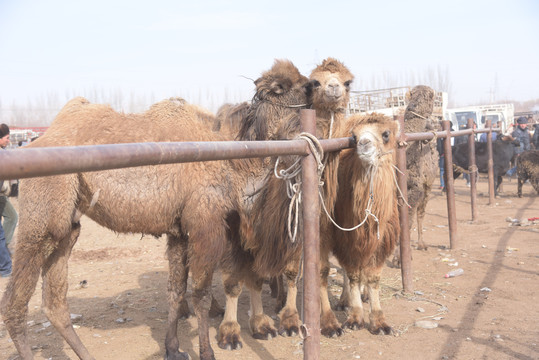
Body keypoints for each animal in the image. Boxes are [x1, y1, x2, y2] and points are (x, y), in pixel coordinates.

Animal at [1, 59, 312, 360]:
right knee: (15, 302)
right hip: (43, 217)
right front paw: (207, 351)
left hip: (69, 226)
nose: (315, 87)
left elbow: (175, 291)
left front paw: (173, 348)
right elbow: (200, 294)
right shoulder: (204, 223)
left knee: (53, 301)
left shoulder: (180, 231)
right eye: (284, 86)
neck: (232, 162)